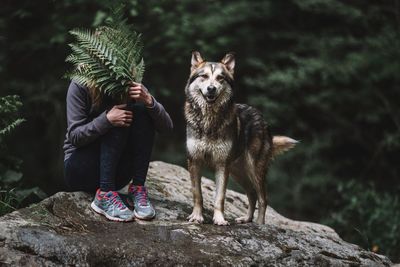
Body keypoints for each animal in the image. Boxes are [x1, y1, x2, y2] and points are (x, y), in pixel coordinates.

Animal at [184, 51, 296, 226]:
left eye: (220, 78)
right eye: (204, 76)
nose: (211, 89)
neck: (209, 121)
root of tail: (261, 116)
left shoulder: (222, 165)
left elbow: (220, 197)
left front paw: (219, 219)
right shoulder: (194, 161)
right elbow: (197, 194)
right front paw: (196, 217)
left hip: (253, 169)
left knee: (263, 199)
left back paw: (259, 224)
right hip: (238, 172)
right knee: (252, 194)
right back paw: (246, 219)